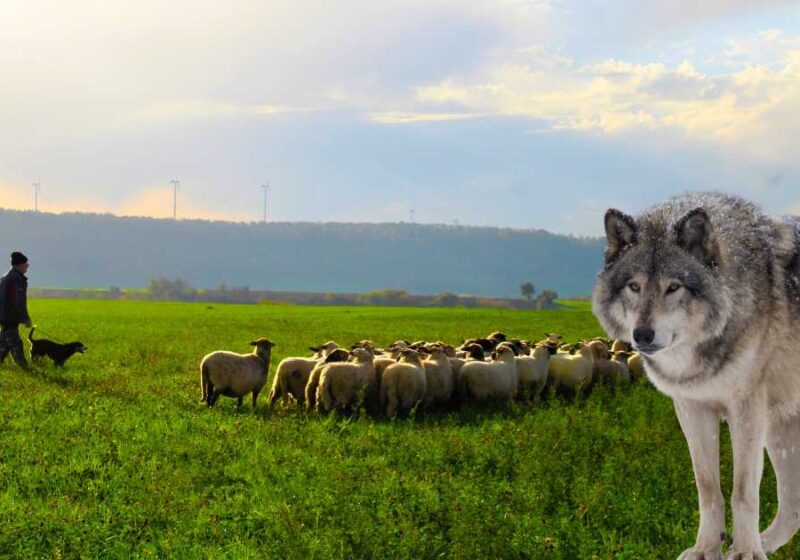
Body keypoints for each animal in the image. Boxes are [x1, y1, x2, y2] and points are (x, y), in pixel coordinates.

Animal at [592, 192, 800, 559]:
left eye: (674, 287)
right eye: (634, 286)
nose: (642, 335)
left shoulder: (747, 411)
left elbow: (743, 490)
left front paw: (745, 552)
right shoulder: (692, 408)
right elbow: (707, 487)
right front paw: (708, 548)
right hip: (781, 431)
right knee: (792, 509)